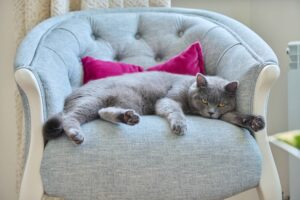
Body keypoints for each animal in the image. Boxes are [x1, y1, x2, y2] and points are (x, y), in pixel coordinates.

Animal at [43, 72, 264, 144]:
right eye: (203, 100)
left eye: (220, 104)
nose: (210, 113)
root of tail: (72, 94)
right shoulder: (168, 99)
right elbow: (175, 110)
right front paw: (180, 126)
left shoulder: (223, 114)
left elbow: (234, 116)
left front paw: (254, 121)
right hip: (93, 99)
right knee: (69, 118)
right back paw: (76, 135)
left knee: (103, 113)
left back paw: (127, 118)